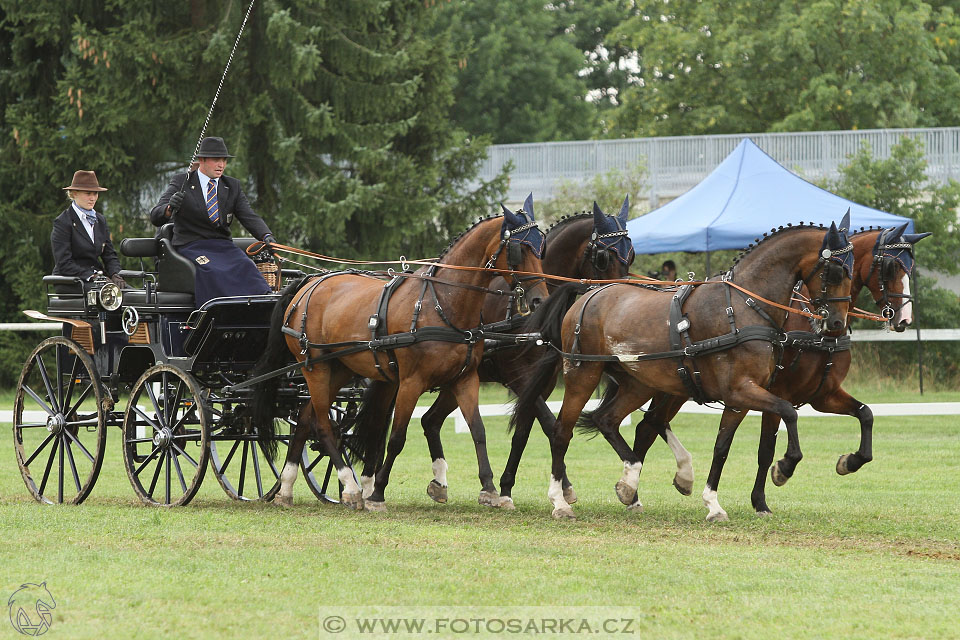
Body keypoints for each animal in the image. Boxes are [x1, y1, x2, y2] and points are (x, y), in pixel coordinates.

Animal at [251, 212, 548, 512]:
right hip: (315, 368)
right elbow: (396, 438)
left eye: (540, 248)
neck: (441, 304)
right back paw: (350, 487)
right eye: (520, 249)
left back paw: (287, 487)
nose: (540, 300)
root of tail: (308, 284)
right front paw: (377, 493)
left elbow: (478, 430)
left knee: (304, 419)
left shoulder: (464, 379)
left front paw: (489, 489)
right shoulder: (410, 383)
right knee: (323, 425)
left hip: (339, 370)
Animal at [416, 198, 632, 508]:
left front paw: (509, 487)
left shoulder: (543, 381)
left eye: (631, 253)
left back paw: (439, 484)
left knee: (430, 420)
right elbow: (547, 423)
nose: (620, 298)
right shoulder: (517, 377)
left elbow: (524, 432)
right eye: (604, 257)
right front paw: (558, 487)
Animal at [510, 220, 856, 520]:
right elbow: (789, 412)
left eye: (851, 270)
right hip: (582, 375)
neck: (742, 306)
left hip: (639, 383)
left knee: (608, 420)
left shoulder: (740, 397)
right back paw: (560, 501)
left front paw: (713, 504)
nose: (836, 323)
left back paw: (630, 483)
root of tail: (588, 294)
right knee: (561, 432)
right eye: (835, 271)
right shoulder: (742, 390)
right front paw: (784, 467)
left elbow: (722, 447)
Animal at [632, 220, 928, 516]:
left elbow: (866, 414)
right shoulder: (775, 393)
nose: (904, 319)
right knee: (647, 426)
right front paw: (774, 481)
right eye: (890, 267)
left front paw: (849, 461)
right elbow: (767, 449)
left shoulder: (823, 396)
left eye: (910, 268)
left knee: (649, 425)